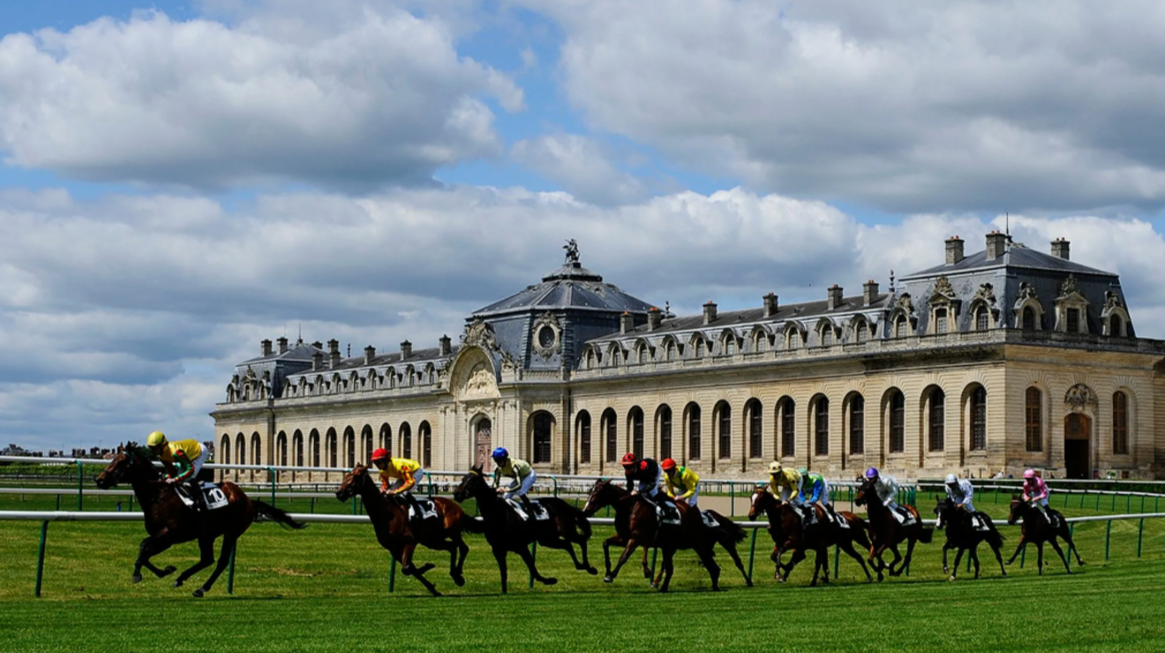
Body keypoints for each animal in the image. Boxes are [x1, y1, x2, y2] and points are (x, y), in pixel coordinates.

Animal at [94, 442, 305, 595]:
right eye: (112, 459)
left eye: (121, 462)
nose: (99, 480)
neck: (159, 495)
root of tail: (248, 500)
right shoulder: (164, 537)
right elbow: (144, 550)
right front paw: (166, 571)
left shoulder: (169, 534)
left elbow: (144, 548)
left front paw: (139, 574)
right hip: (207, 535)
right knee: (207, 559)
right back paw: (181, 578)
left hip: (231, 532)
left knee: (221, 561)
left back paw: (202, 588)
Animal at [333, 460, 472, 593]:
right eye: (346, 476)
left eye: (356, 476)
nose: (339, 493)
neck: (387, 512)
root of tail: (456, 507)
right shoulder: (392, 548)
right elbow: (409, 567)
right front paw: (432, 587)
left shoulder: (410, 541)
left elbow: (407, 568)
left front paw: (428, 567)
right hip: (431, 540)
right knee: (452, 547)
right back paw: (455, 575)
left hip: (451, 532)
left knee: (463, 548)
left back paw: (458, 575)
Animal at [447, 463, 591, 591]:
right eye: (463, 478)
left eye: (473, 480)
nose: (457, 493)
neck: (498, 512)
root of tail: (565, 504)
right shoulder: (499, 550)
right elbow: (506, 574)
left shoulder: (521, 546)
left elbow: (533, 569)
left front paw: (549, 580)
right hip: (547, 539)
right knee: (567, 545)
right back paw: (580, 566)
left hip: (567, 531)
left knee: (581, 541)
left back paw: (588, 567)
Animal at [580, 479, 750, 591]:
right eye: (589, 491)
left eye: (597, 492)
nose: (585, 511)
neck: (629, 507)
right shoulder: (625, 537)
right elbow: (605, 544)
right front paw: (607, 571)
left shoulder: (636, 538)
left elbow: (624, 557)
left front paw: (611, 575)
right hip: (685, 546)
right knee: (700, 567)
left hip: (707, 544)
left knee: (729, 563)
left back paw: (745, 582)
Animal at [745, 484, 876, 586]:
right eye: (751, 497)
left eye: (760, 498)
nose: (751, 515)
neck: (781, 516)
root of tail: (855, 517)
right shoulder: (782, 542)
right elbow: (774, 556)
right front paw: (783, 571)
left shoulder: (793, 541)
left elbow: (781, 554)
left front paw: (779, 574)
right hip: (845, 544)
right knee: (858, 557)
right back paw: (870, 576)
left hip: (859, 537)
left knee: (869, 547)